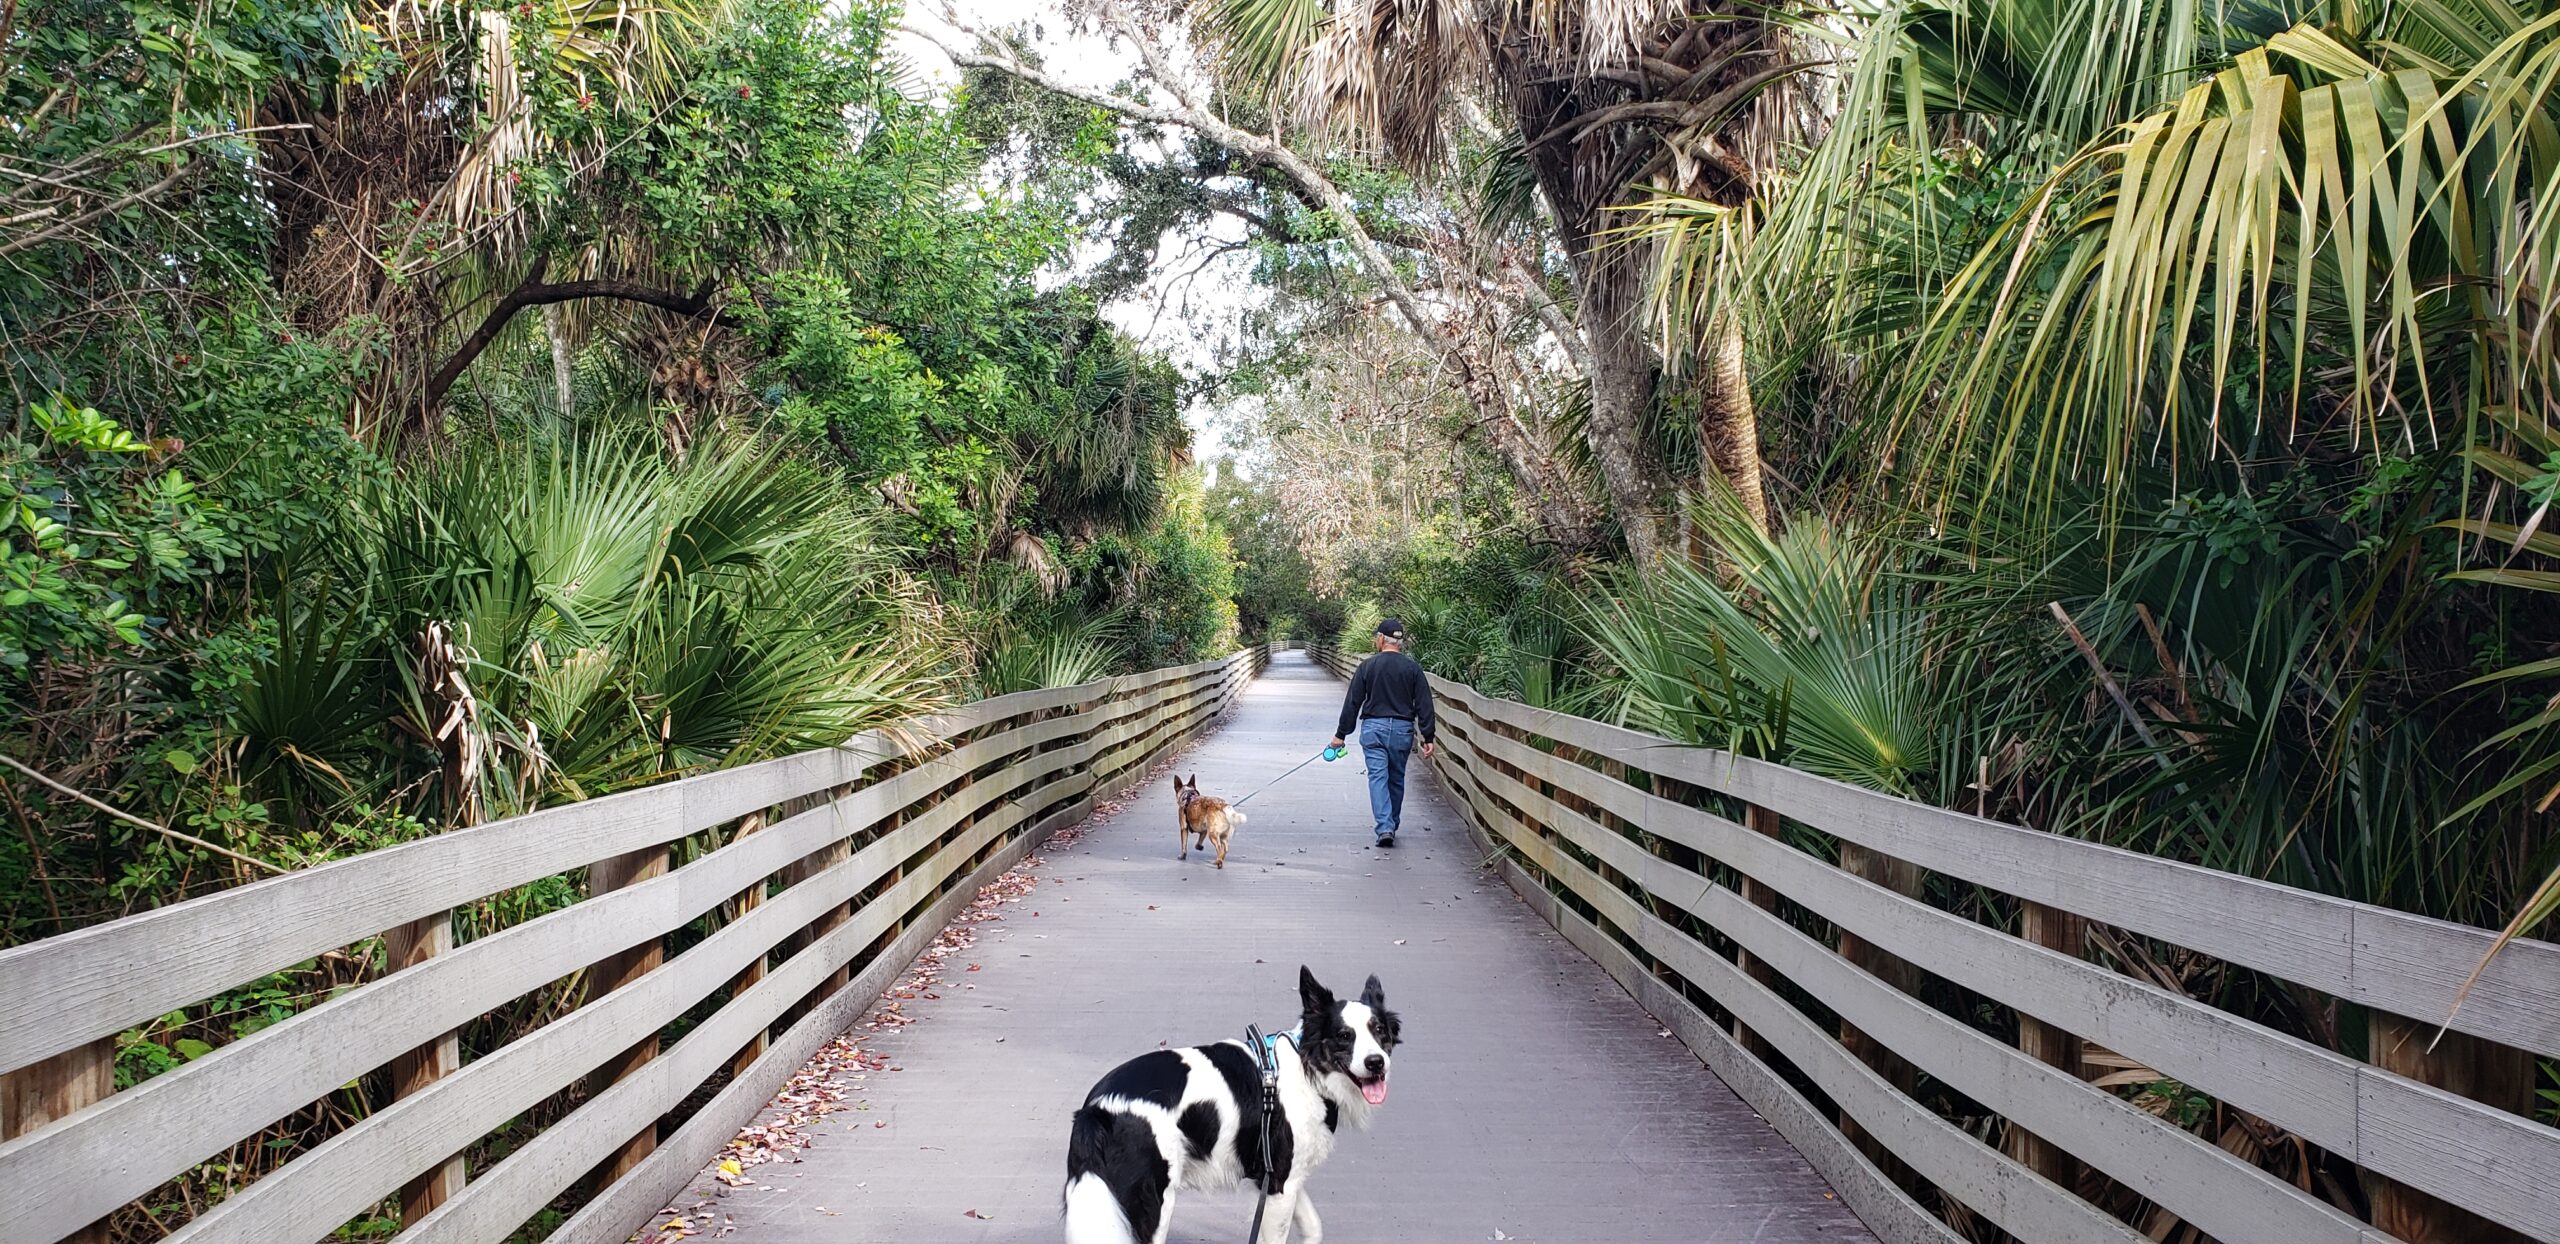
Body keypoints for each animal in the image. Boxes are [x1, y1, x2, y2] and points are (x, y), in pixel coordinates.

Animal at [1070, 972, 1413, 1244]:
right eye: (1344, 1036)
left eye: (1379, 1031)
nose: (1377, 1063)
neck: (1308, 1068)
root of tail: (1098, 1108)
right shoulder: (1280, 1186)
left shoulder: (1282, 1177)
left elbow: (1314, 1227)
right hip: (1154, 1202)